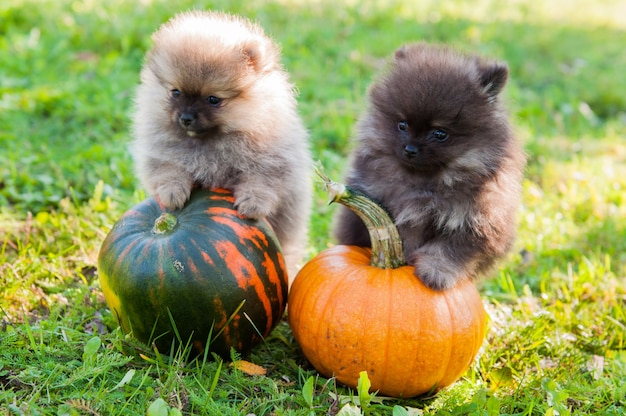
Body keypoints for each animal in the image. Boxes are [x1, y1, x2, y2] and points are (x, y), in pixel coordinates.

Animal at [334, 42, 524, 290]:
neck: (423, 182)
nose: (410, 149)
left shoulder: (476, 220)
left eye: (440, 133)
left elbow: (449, 250)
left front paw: (435, 273)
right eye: (402, 125)